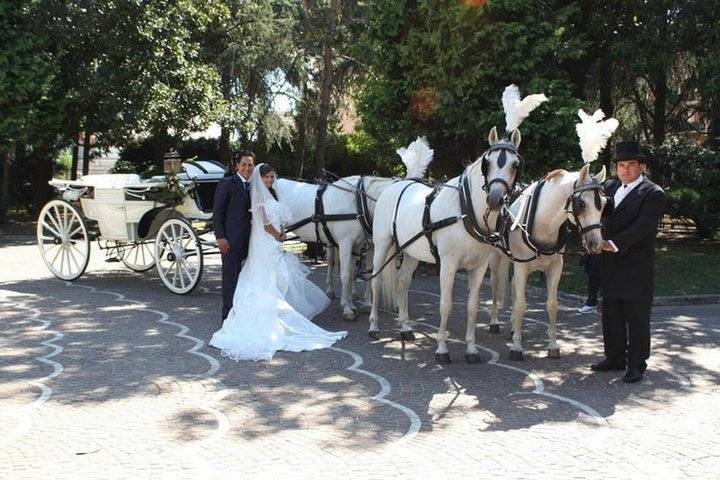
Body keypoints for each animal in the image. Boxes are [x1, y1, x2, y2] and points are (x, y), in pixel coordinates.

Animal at [372, 127, 524, 364]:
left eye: (515, 165)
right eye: (487, 163)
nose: (494, 199)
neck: (464, 210)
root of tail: (398, 184)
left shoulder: (479, 267)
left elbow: (472, 307)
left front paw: (471, 350)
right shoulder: (448, 265)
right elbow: (446, 305)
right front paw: (442, 349)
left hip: (411, 253)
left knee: (403, 282)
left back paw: (406, 328)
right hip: (381, 245)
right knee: (376, 282)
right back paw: (374, 327)